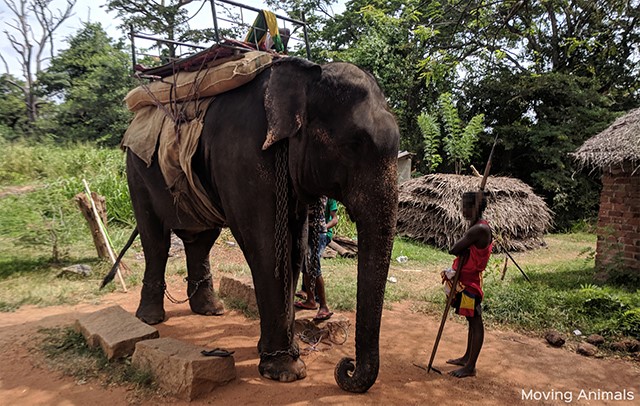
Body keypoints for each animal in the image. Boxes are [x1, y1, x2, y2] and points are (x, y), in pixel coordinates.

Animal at [121, 56, 399, 392]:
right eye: (353, 144)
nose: (347, 366)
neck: (306, 76)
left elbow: (294, 248)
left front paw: (275, 355)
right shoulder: (244, 156)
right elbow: (267, 246)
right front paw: (285, 371)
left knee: (202, 239)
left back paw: (211, 310)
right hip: (137, 171)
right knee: (156, 239)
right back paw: (150, 320)